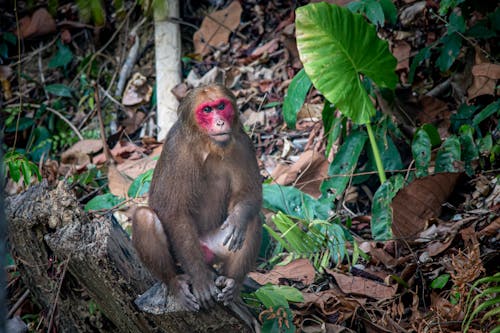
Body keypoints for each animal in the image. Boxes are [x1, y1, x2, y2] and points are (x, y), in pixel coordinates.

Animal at [131, 83, 264, 312]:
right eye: (207, 110)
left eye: (221, 106)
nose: (220, 122)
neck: (206, 144)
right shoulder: (177, 150)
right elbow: (173, 211)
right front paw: (201, 279)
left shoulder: (242, 143)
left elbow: (250, 194)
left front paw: (238, 218)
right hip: (183, 255)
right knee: (144, 217)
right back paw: (176, 282)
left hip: (214, 247)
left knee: (253, 220)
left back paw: (232, 283)